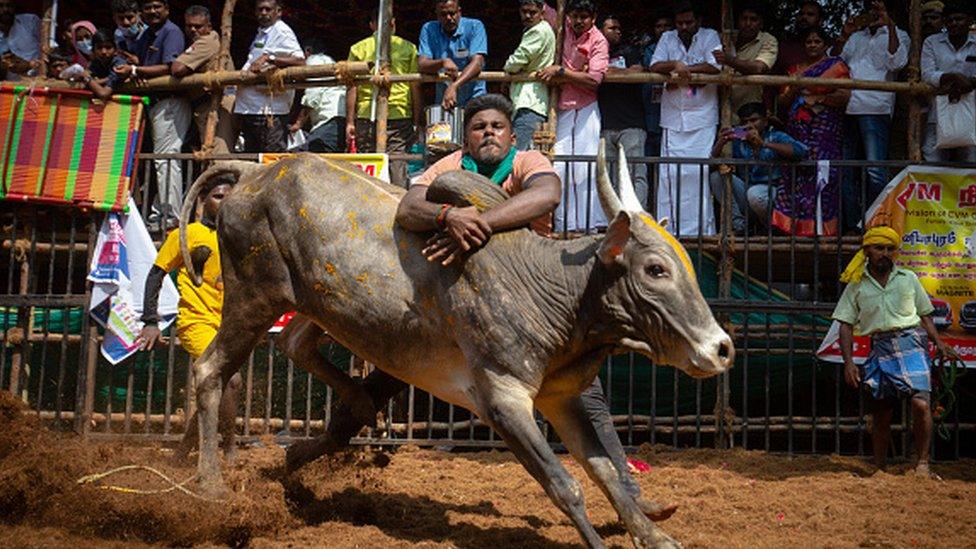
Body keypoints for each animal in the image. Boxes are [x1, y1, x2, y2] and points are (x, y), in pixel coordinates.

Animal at [181, 142, 732, 548]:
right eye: (656, 269)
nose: (722, 348)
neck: (555, 290)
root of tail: (255, 174)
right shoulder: (503, 399)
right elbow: (565, 483)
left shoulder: (561, 398)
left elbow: (604, 471)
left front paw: (654, 536)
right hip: (254, 299)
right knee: (210, 371)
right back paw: (211, 488)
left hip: (316, 305)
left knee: (298, 346)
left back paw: (341, 418)